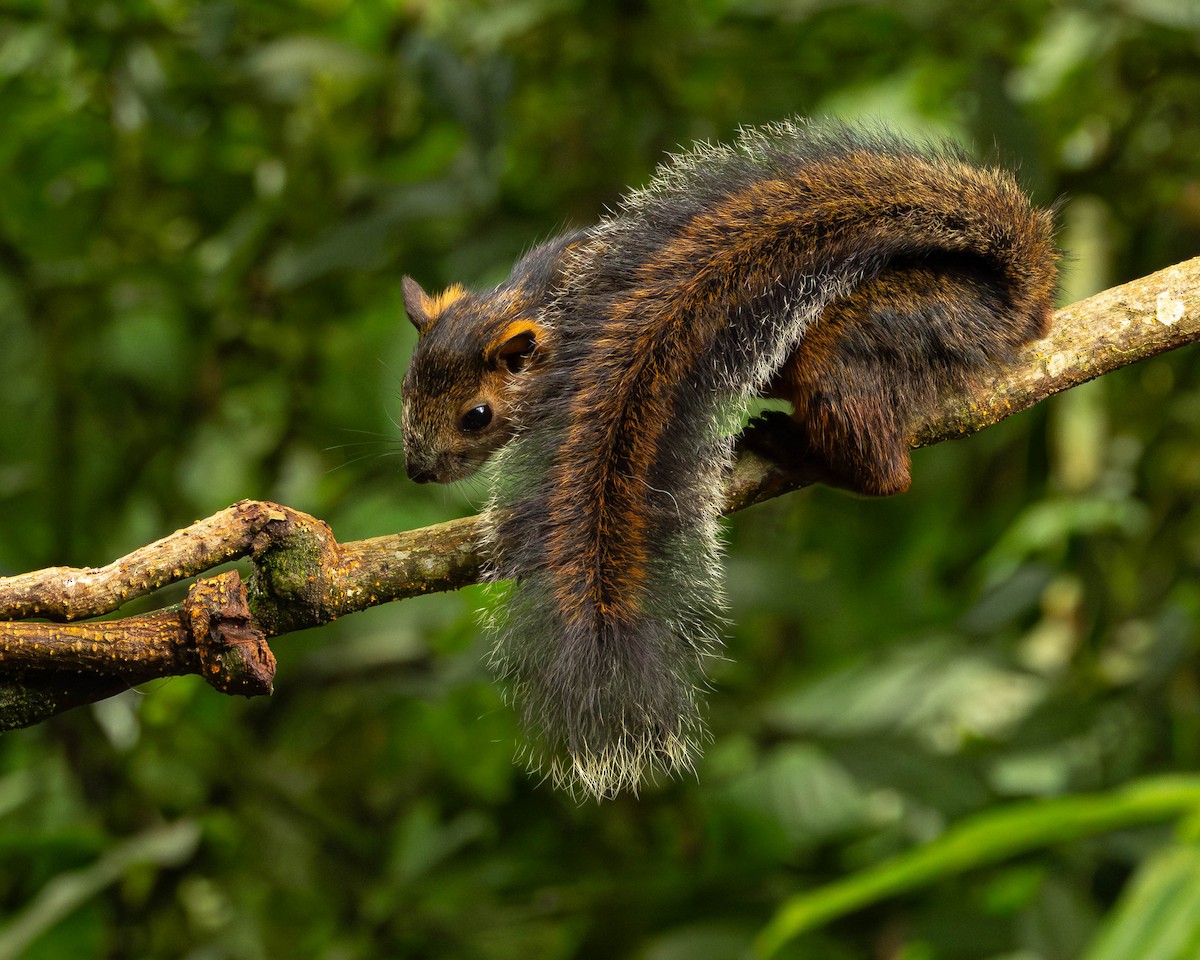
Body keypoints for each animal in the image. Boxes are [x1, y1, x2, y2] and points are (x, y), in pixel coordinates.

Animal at [399, 120, 1058, 799]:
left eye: (476, 415)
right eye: (404, 387)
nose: (418, 470)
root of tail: (1010, 303)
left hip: (855, 346)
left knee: (883, 470)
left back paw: (793, 446)